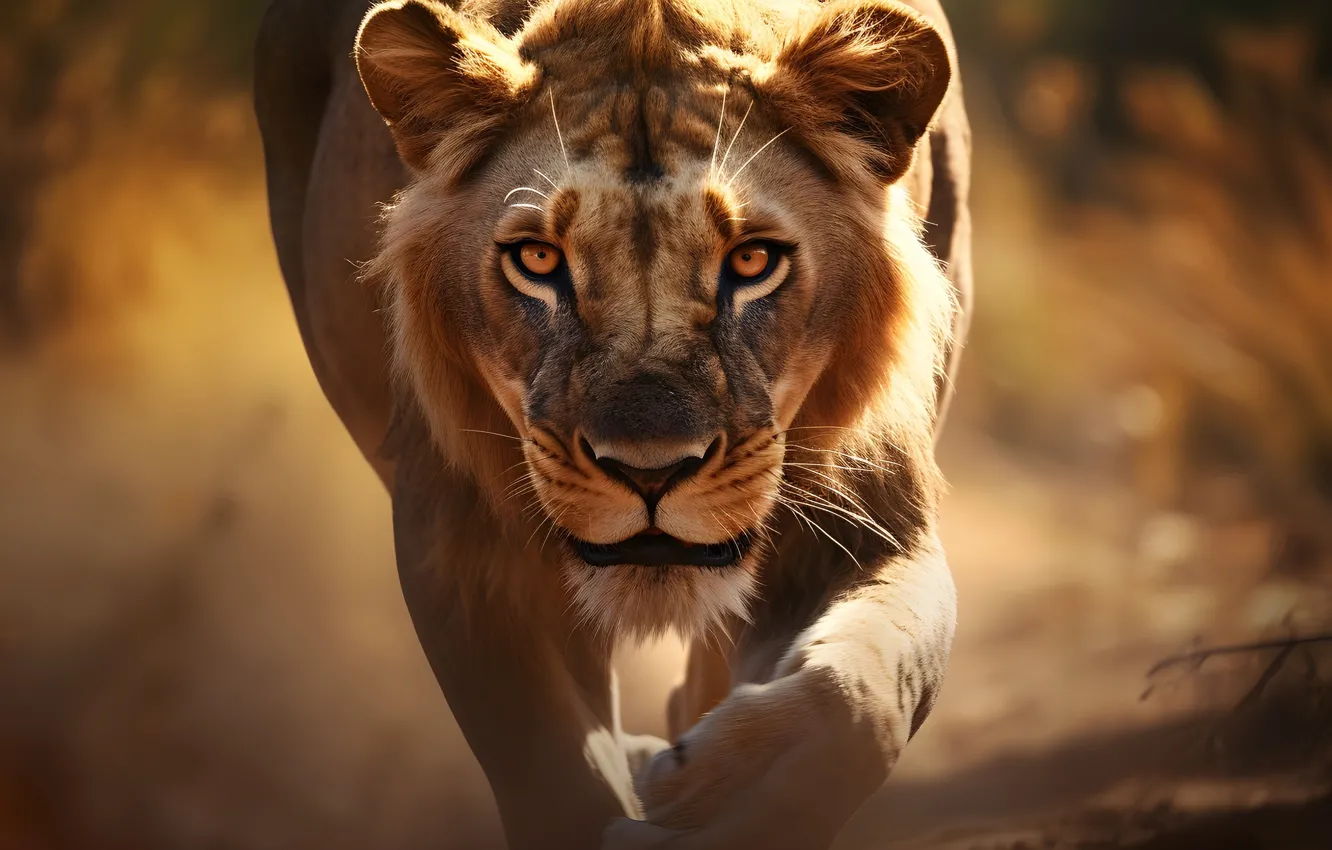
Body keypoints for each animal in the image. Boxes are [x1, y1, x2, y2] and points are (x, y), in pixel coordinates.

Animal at [254, 0, 972, 847]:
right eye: (537, 259)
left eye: (753, 262)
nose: (649, 471)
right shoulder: (459, 540)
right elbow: (549, 769)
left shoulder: (874, 517)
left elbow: (856, 695)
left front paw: (727, 799)